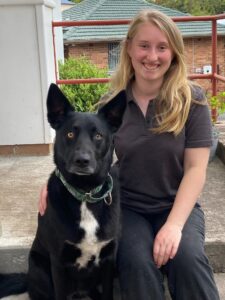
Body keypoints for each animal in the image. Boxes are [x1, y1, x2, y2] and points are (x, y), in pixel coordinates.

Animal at [0, 82, 126, 300]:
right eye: (70, 134)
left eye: (98, 136)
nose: (82, 161)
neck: (84, 194)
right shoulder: (58, 263)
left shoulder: (108, 260)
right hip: (40, 268)